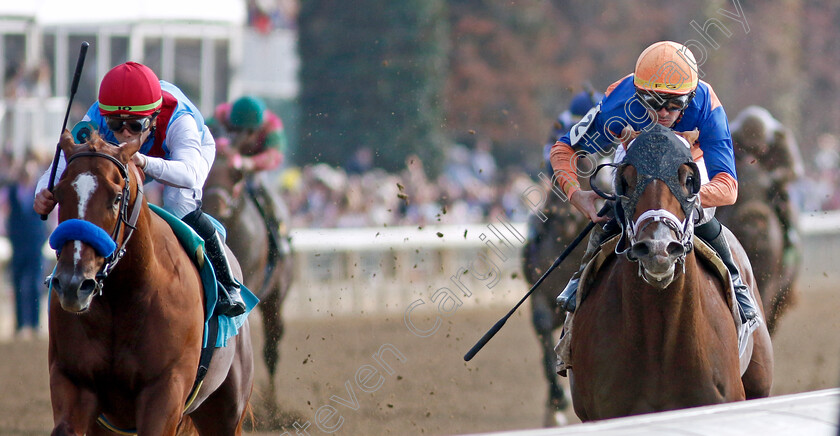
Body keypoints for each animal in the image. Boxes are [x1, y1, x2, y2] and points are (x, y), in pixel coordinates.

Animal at [47, 131, 251, 434]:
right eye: (59, 194)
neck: (121, 299)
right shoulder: (75, 380)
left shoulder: (165, 387)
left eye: (117, 198)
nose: (73, 283)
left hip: (226, 409)